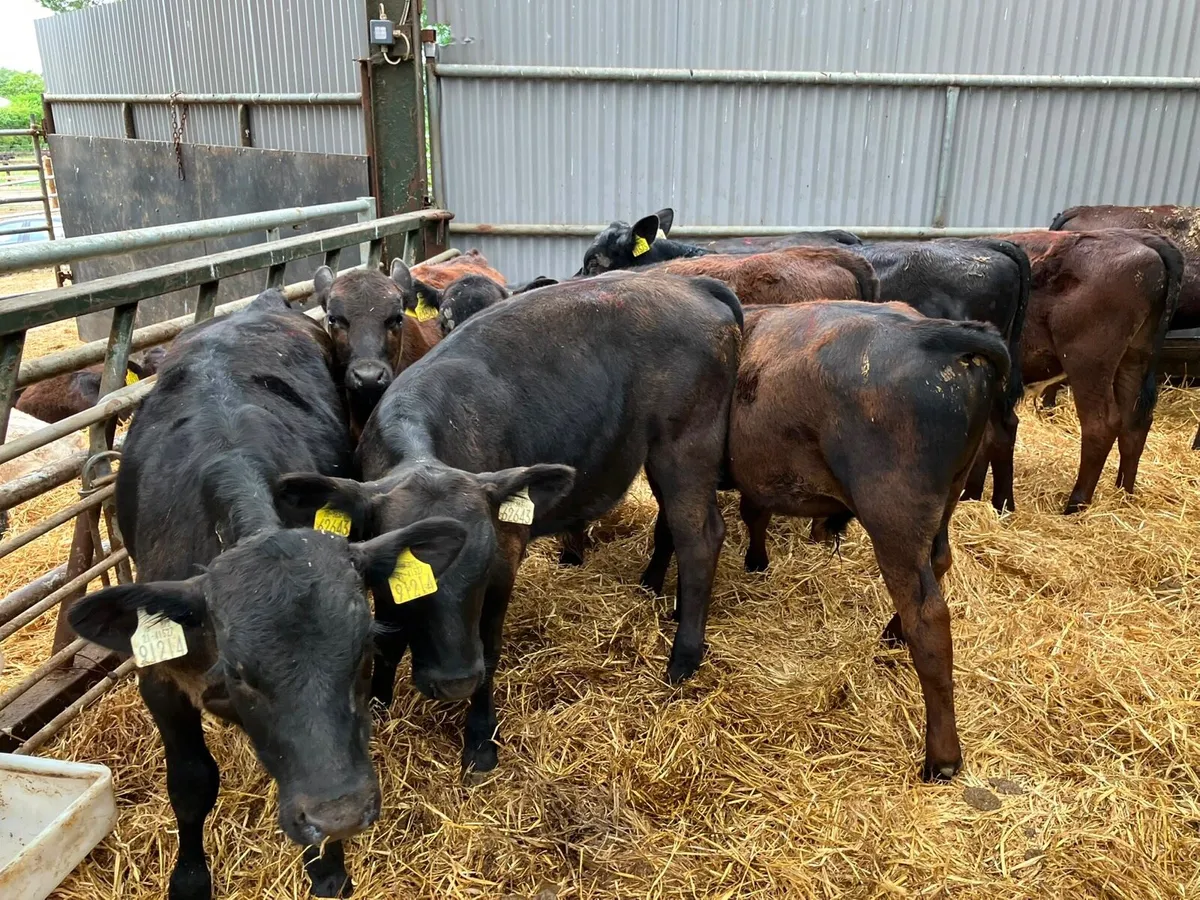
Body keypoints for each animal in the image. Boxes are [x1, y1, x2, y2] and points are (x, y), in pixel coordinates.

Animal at [67, 289, 468, 900]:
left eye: (363, 653)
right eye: (239, 673)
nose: (339, 814)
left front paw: (328, 867)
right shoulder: (158, 675)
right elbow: (190, 782)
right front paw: (190, 877)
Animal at [273, 271, 743, 776]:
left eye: (483, 568)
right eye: (400, 577)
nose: (455, 681)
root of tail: (691, 284)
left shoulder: (506, 557)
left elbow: (489, 646)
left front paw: (480, 740)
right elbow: (389, 636)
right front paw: (379, 702)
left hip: (686, 446)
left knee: (700, 537)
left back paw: (683, 658)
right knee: (673, 525)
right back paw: (657, 591)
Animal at [640, 300, 1010, 781]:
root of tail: (936, 334)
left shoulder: (671, 466)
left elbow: (668, 528)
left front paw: (652, 582)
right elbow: (753, 511)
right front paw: (756, 561)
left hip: (893, 521)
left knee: (928, 617)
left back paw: (941, 757)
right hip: (945, 501)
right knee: (939, 563)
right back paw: (891, 633)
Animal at [991, 230, 1182, 512]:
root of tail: (1142, 239)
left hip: (1088, 365)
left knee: (1100, 425)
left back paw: (1076, 504)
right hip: (1133, 360)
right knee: (1135, 424)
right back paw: (1123, 494)